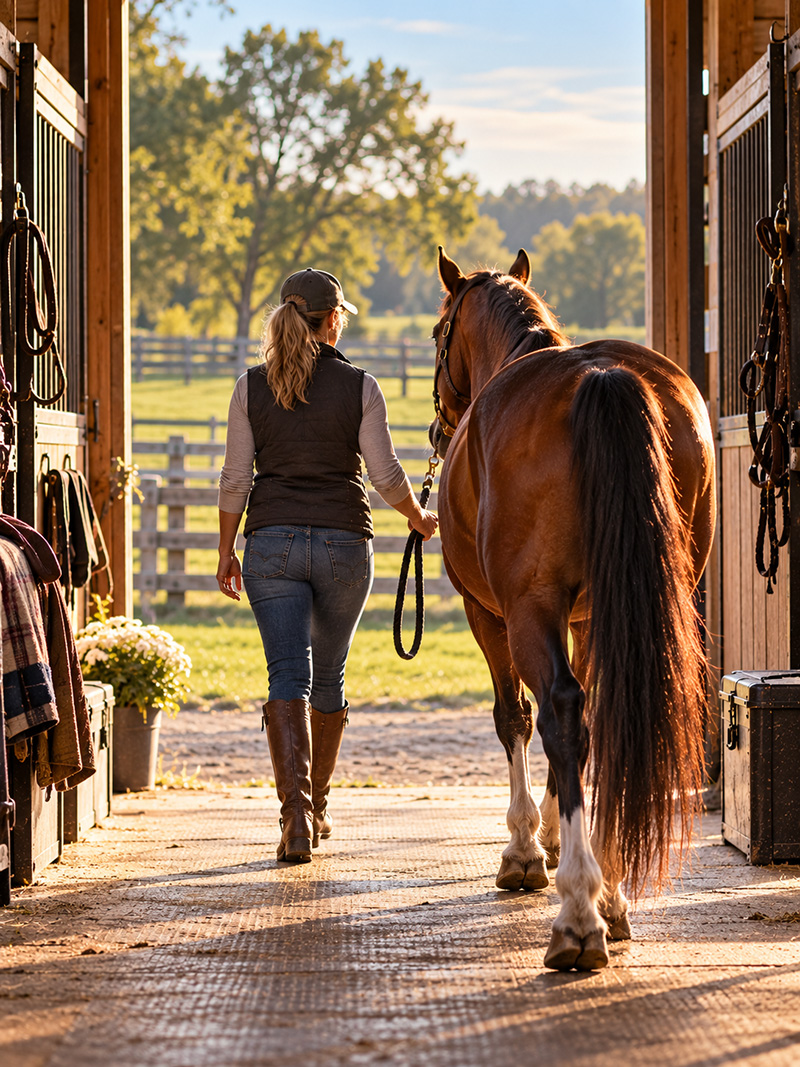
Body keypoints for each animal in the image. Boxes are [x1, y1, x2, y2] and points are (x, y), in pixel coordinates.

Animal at [428, 247, 716, 971]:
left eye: (439, 333)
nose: (439, 428)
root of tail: (600, 375)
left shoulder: (492, 614)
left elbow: (516, 716)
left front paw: (527, 850)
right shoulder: (585, 616)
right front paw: (560, 839)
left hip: (527, 608)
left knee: (559, 710)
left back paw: (580, 914)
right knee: (608, 712)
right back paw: (610, 894)